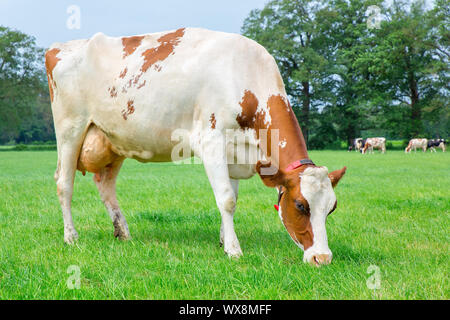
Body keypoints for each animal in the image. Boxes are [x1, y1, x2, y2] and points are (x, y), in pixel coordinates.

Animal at [45, 27, 346, 266]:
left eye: (331, 207)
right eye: (300, 205)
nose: (322, 258)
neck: (243, 74)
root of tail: (59, 47)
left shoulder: (234, 153)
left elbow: (233, 198)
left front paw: (224, 240)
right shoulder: (212, 142)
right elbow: (226, 199)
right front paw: (234, 250)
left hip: (113, 140)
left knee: (105, 185)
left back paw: (123, 233)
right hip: (70, 129)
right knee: (64, 184)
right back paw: (71, 237)